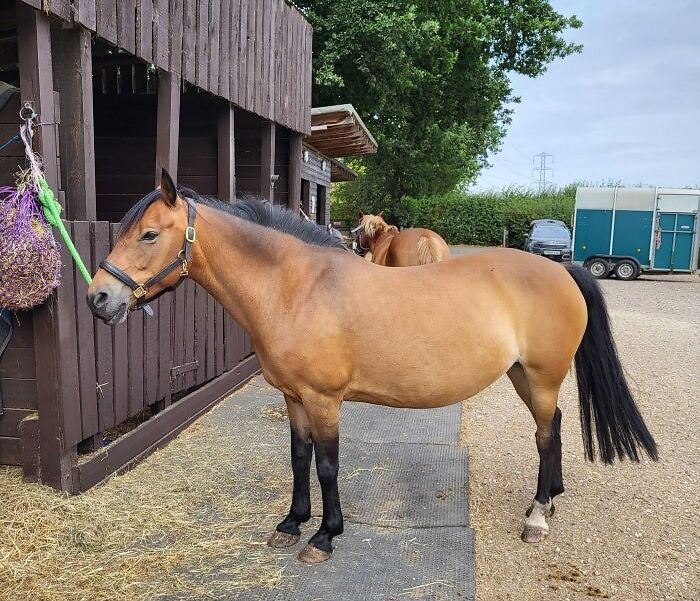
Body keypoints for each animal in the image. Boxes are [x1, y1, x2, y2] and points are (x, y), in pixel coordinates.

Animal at [87, 171, 658, 565]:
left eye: (148, 235)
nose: (99, 298)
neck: (297, 287)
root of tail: (562, 269)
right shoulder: (293, 398)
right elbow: (298, 459)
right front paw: (291, 524)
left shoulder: (324, 400)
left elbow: (327, 464)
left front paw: (324, 536)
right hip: (523, 375)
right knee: (554, 427)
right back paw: (551, 500)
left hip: (541, 376)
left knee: (544, 434)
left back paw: (537, 516)